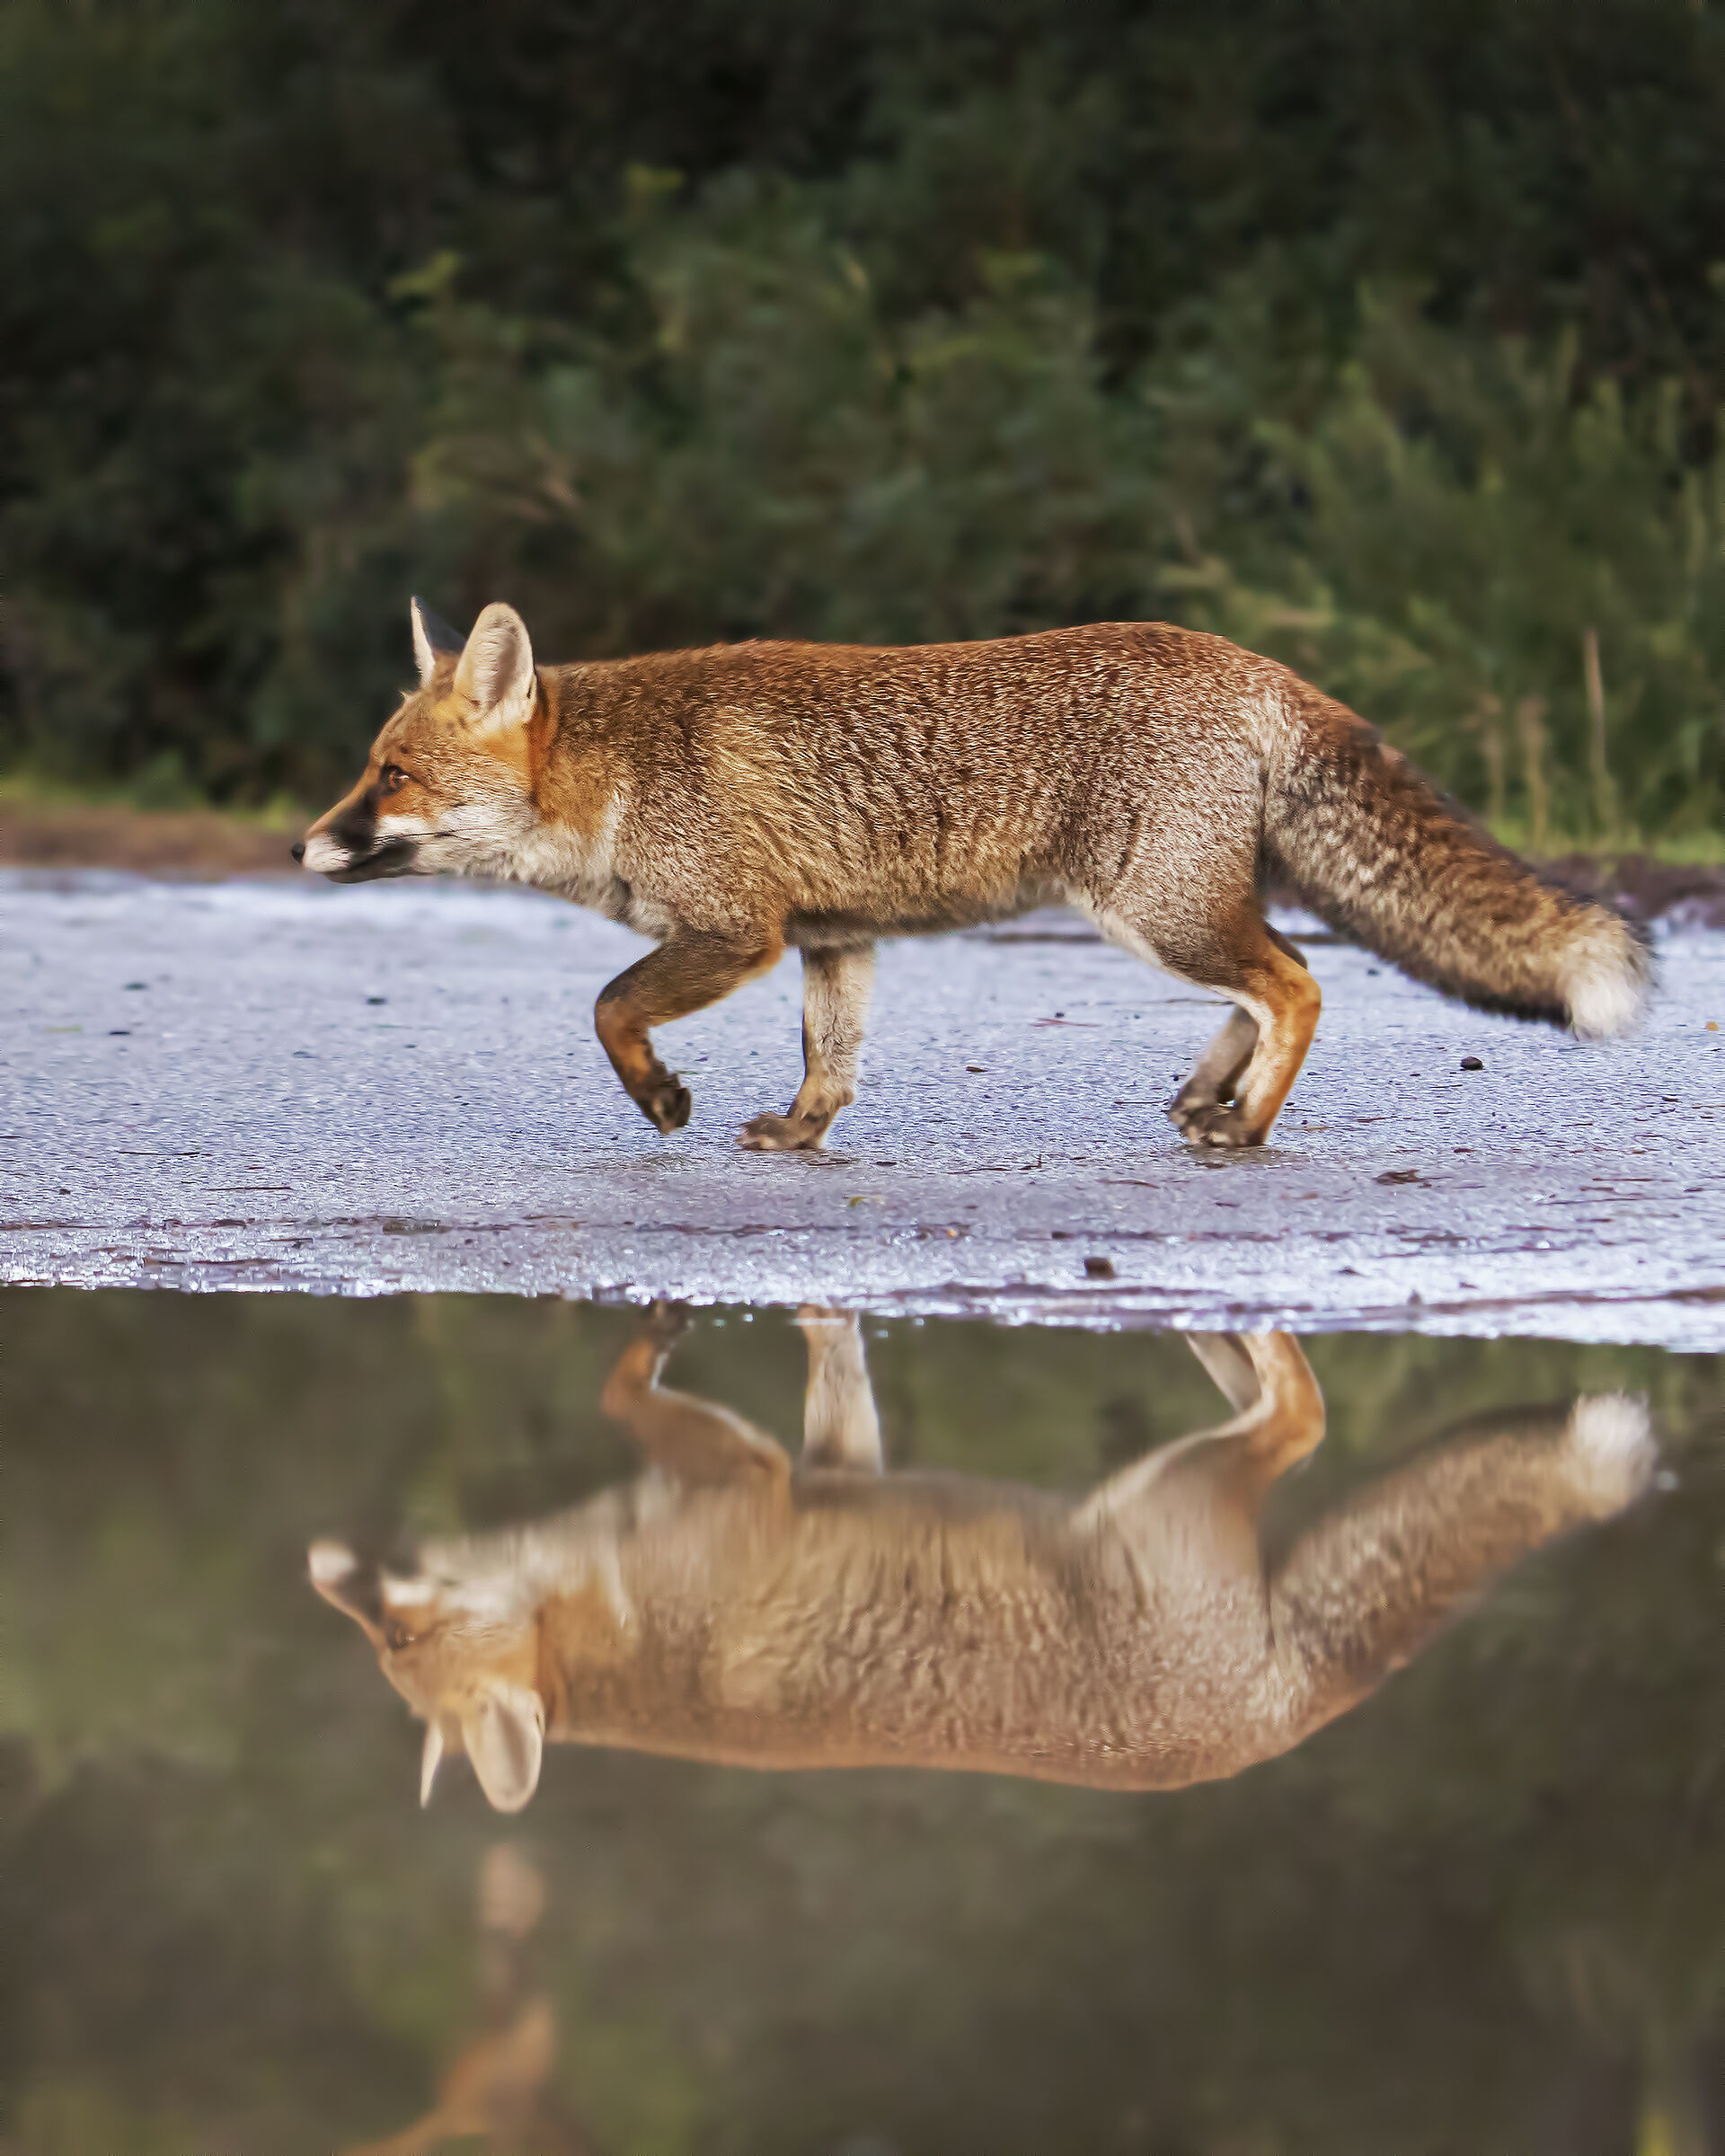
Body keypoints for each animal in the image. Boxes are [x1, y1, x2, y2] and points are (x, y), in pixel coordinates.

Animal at [293, 599, 1651, 1151]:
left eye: (390, 775)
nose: (301, 846)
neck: (619, 777)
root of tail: (1256, 662)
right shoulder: (834, 938)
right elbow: (830, 1063)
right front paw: (800, 1137)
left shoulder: (739, 932)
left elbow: (610, 1008)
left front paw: (662, 1102)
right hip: (1186, 909)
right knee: (1277, 980)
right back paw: (1212, 1096)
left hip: (1154, 910)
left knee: (1300, 985)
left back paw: (1250, 1123)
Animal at [309, 1309, 1655, 1814]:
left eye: (395, 1633)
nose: (322, 1560)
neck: (619, 1621)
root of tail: (1276, 1720)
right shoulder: (825, 1460)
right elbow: (833, 1358)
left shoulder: (746, 1480)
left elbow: (618, 1384)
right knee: (1294, 1416)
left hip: (1167, 1493)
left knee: (1306, 1419)